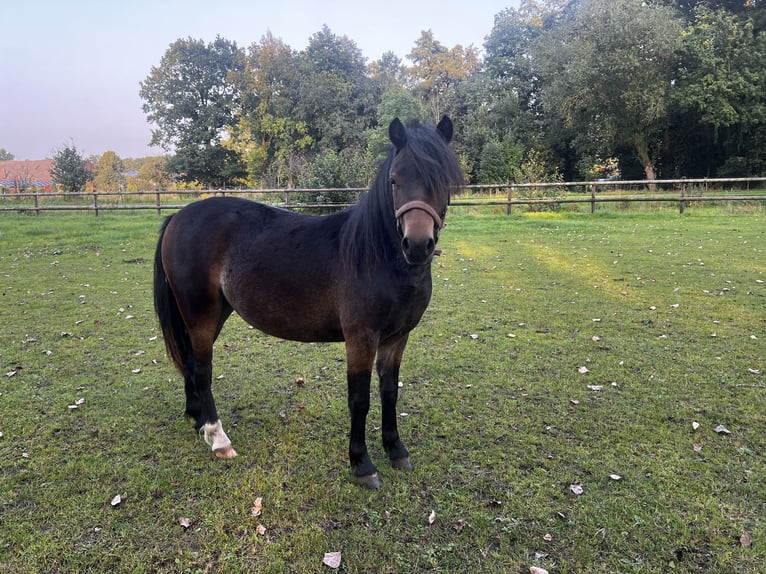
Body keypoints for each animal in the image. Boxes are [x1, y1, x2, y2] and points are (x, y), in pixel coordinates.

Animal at [153, 118, 460, 490]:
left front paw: (396, 450)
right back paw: (218, 437)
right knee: (202, 370)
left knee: (190, 363)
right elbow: (359, 400)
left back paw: (199, 422)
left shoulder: (397, 338)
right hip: (201, 315)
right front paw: (362, 464)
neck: (376, 257)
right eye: (394, 180)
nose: (416, 245)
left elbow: (389, 391)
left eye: (443, 180)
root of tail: (177, 217)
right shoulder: (361, 338)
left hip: (213, 314)